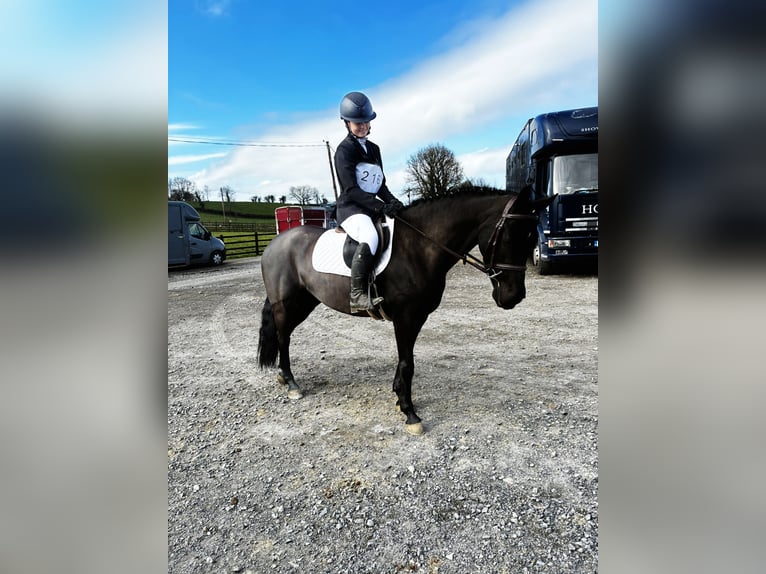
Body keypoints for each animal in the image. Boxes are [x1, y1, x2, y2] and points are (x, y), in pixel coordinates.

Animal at [257, 187, 554, 434]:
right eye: (510, 235)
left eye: (532, 236)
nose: (514, 297)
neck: (420, 246)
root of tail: (275, 243)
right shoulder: (405, 318)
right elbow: (407, 363)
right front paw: (410, 413)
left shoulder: (417, 318)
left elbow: (406, 361)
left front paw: (399, 398)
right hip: (286, 303)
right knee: (283, 336)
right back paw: (292, 384)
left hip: (305, 302)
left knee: (285, 334)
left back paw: (284, 378)